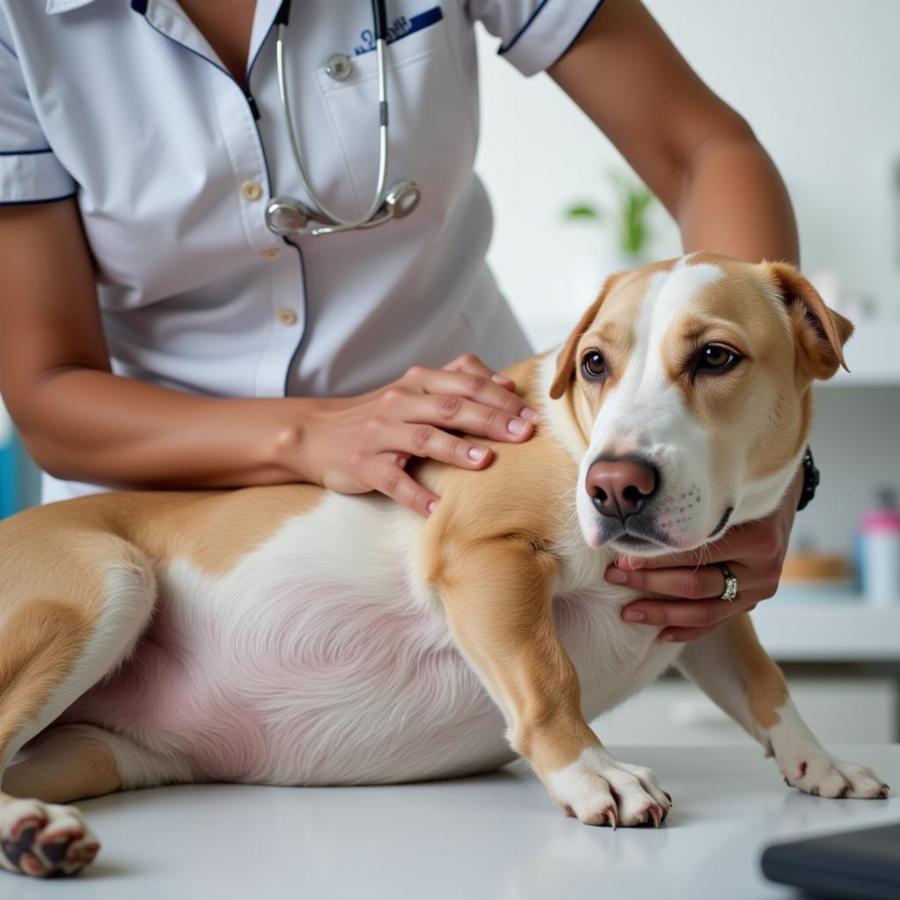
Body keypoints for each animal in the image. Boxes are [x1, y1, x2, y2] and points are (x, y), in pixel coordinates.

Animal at [0, 255, 884, 880]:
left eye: (716, 356)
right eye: (594, 365)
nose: (614, 488)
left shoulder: (702, 599)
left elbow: (766, 686)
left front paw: (822, 764)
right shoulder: (483, 556)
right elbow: (548, 678)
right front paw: (593, 773)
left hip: (100, 752)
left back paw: (34, 829)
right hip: (112, 580)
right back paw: (34, 829)